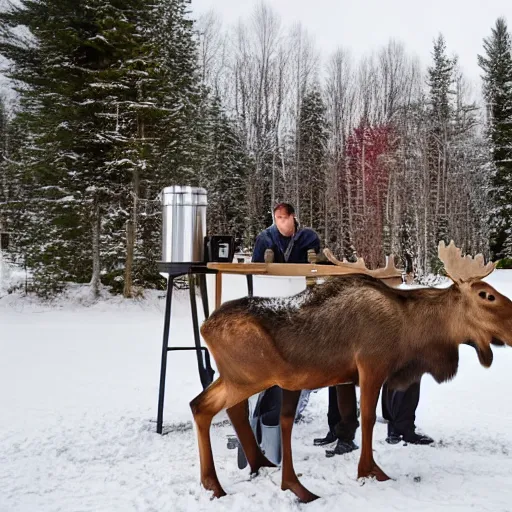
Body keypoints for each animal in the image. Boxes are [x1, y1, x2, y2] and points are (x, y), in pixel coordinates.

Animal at [189, 242, 512, 502]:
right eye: (486, 295)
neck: (413, 333)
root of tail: (205, 327)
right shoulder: (372, 366)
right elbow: (367, 419)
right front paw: (370, 471)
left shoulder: (349, 376)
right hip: (248, 378)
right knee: (206, 406)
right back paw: (215, 484)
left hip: (236, 377)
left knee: (215, 407)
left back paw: (257, 467)